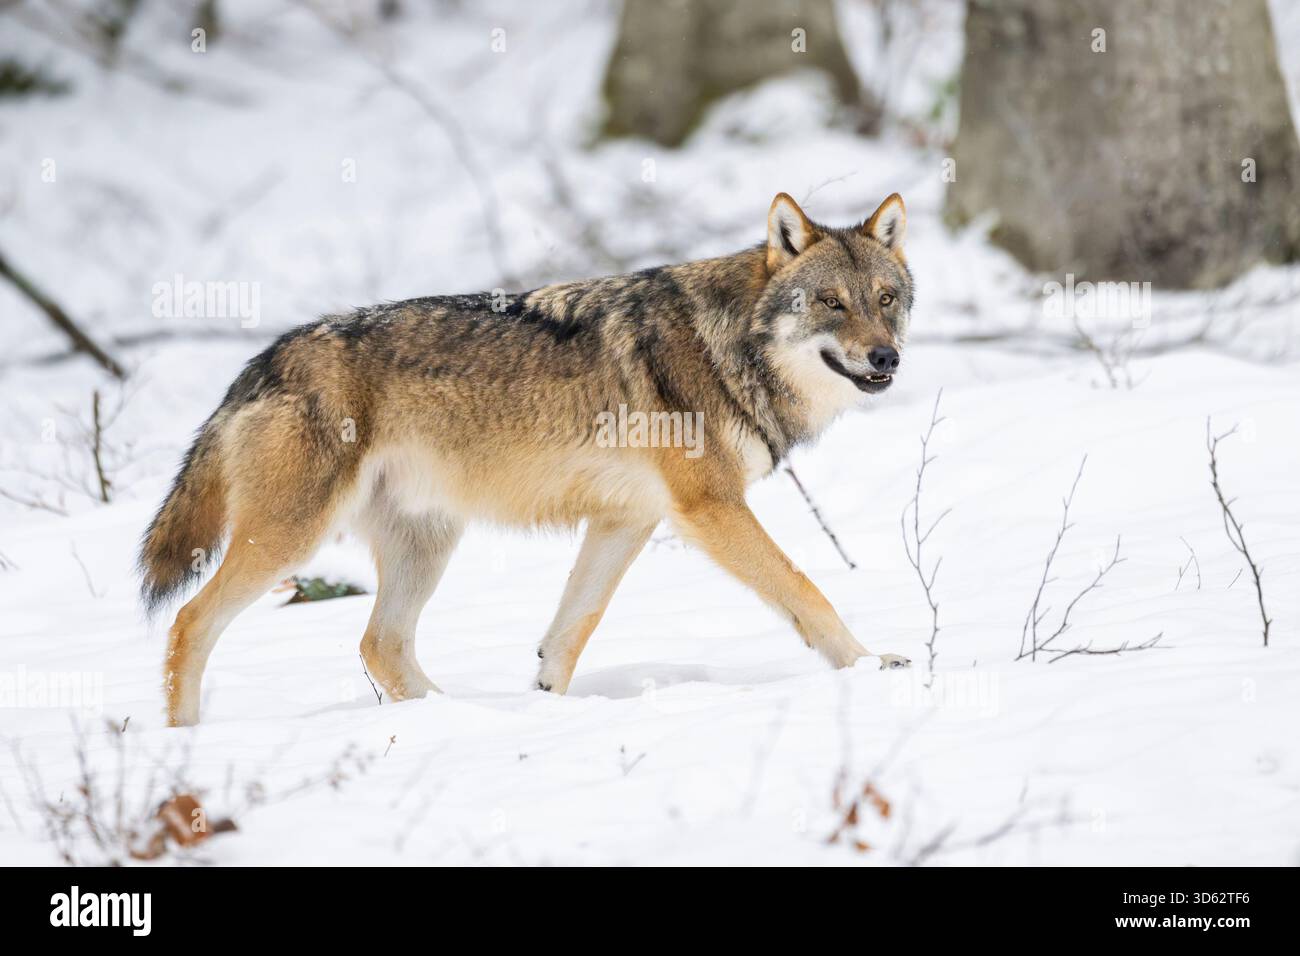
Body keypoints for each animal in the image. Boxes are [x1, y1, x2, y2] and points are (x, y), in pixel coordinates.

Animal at [140, 192, 914, 726]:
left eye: (885, 299)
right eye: (830, 303)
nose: (887, 358)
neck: (726, 346)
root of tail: (263, 361)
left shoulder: (626, 520)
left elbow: (572, 630)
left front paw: (546, 710)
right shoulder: (710, 509)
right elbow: (805, 591)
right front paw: (871, 665)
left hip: (426, 543)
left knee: (379, 644)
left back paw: (462, 720)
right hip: (291, 538)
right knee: (190, 623)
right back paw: (186, 743)